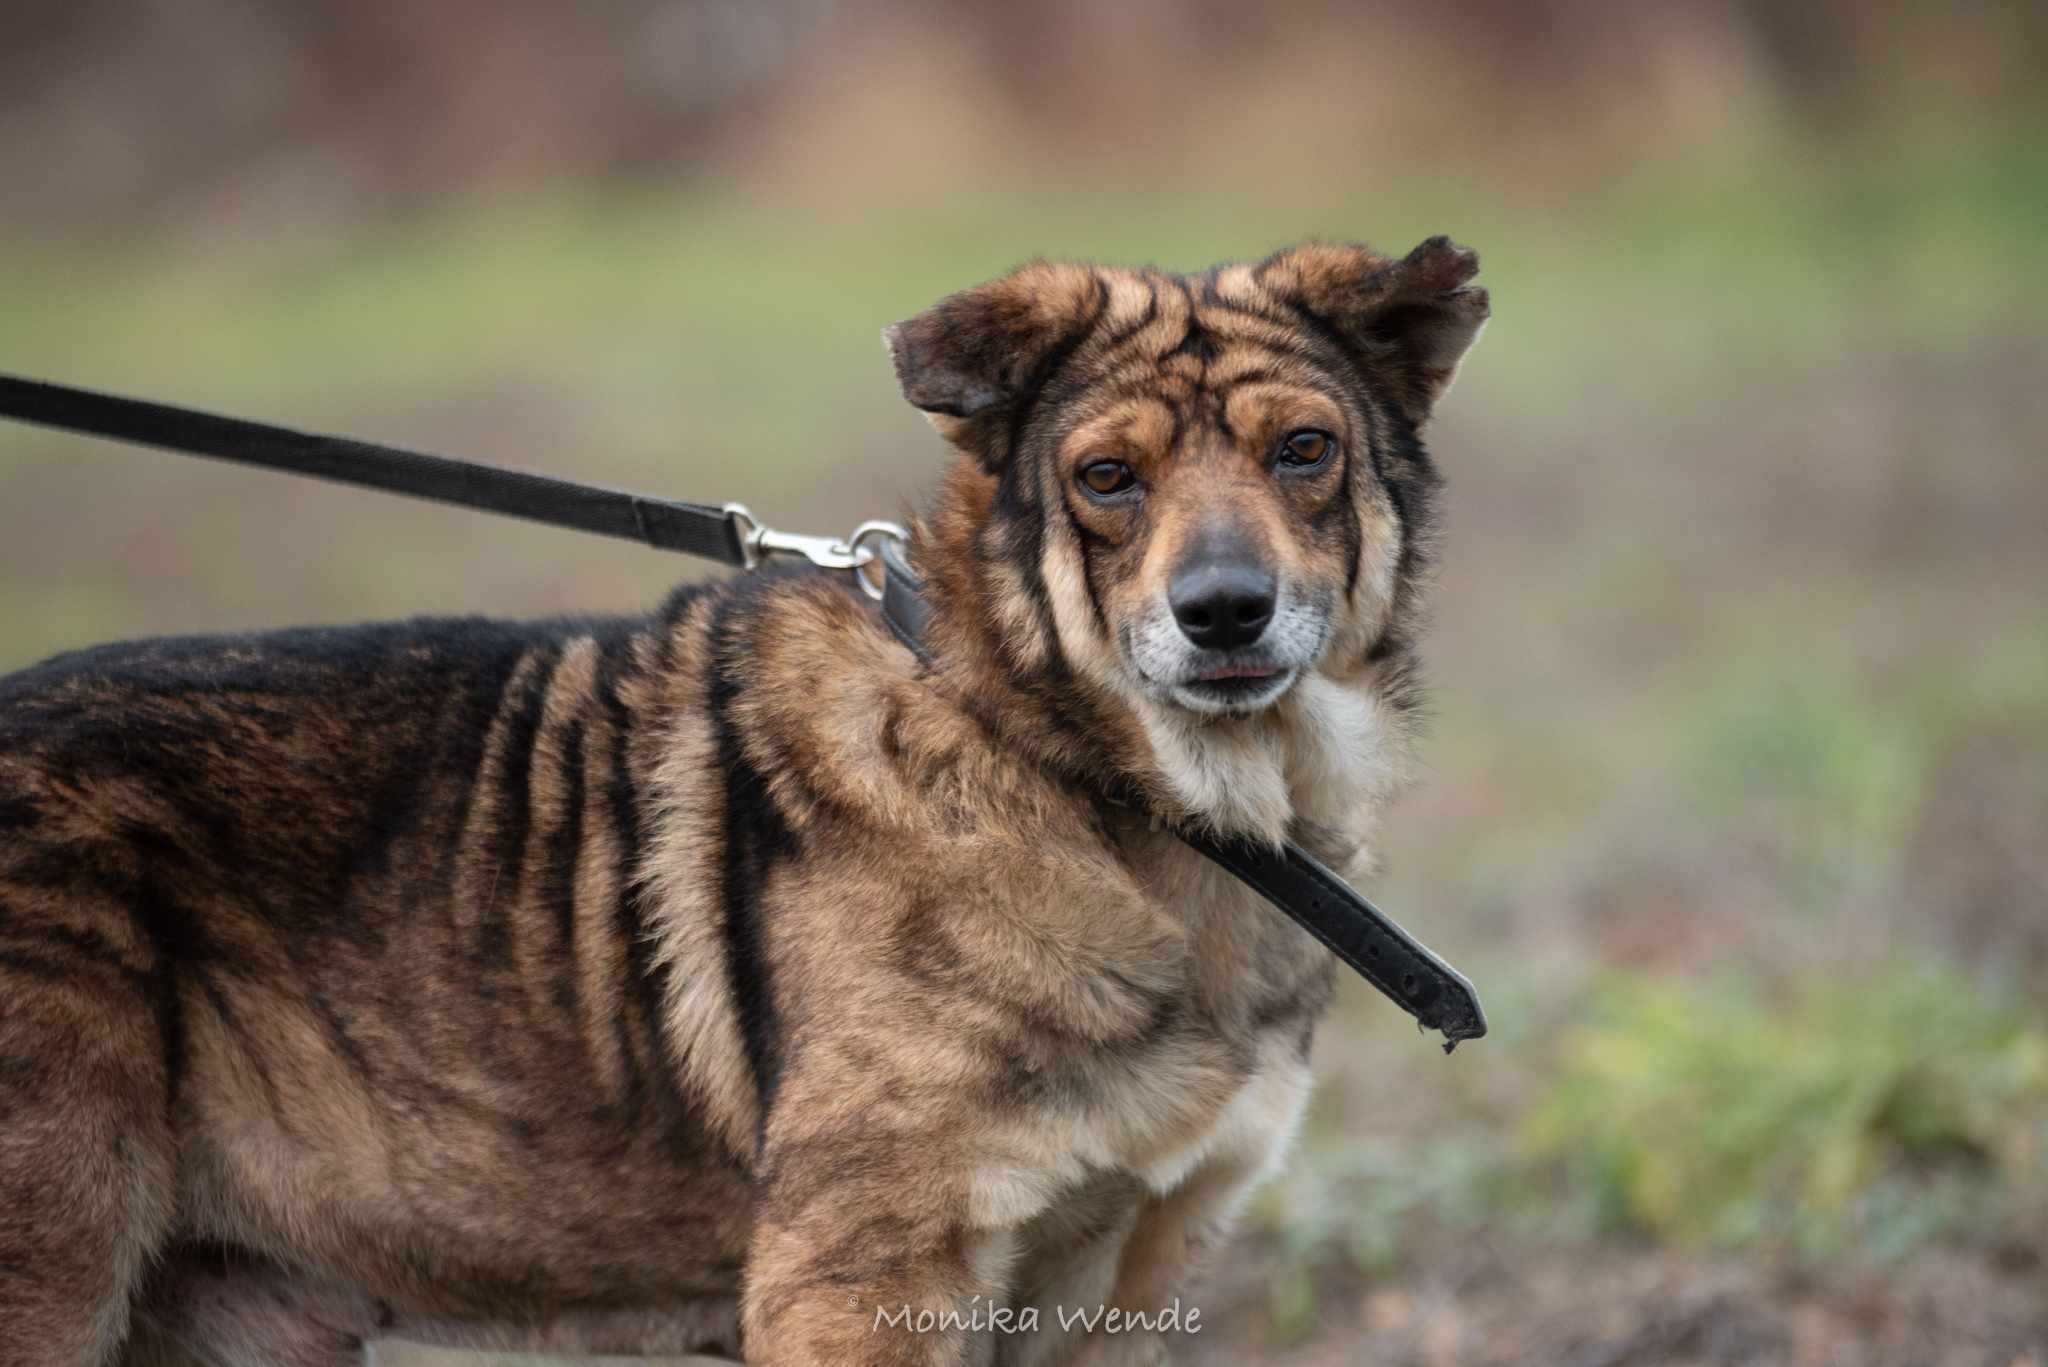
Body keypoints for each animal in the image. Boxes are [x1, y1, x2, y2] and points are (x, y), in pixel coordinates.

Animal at [0, 237, 1482, 1367]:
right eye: (1105, 478)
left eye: (1304, 450)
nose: (1223, 609)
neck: (1075, 767)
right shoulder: (862, 1279)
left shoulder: (1123, 1281)